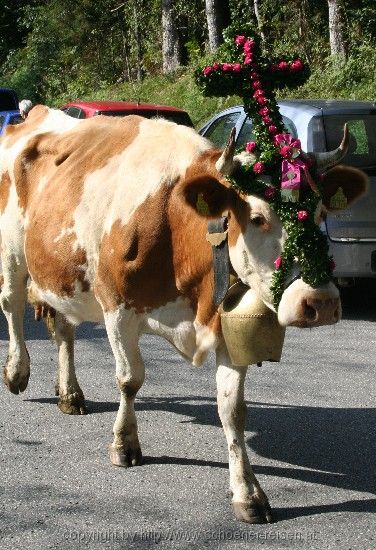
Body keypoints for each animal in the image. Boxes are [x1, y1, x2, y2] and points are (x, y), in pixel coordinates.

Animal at [0, 106, 368, 528]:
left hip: (61, 274)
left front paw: (247, 492)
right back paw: (17, 372)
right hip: (12, 254)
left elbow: (232, 409)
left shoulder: (223, 325)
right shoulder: (117, 309)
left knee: (63, 329)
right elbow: (129, 379)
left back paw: (70, 393)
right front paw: (124, 444)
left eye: (321, 211)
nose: (319, 302)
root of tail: (35, 114)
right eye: (258, 218)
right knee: (12, 307)